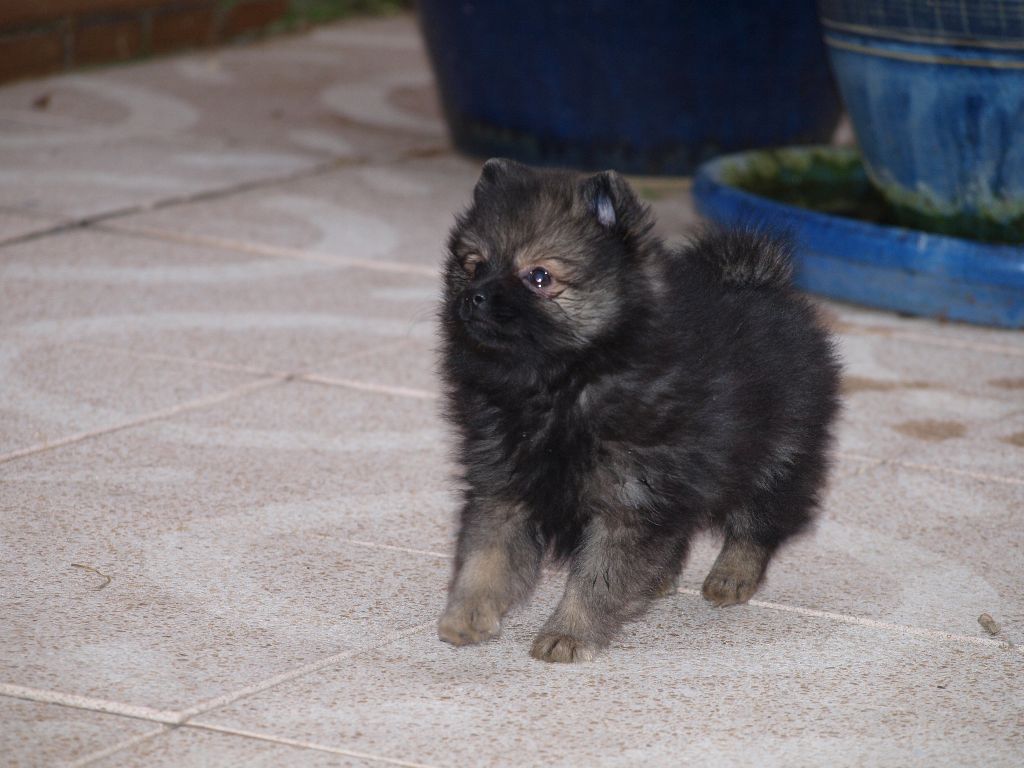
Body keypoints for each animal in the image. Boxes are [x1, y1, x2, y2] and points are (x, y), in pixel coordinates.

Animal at [432, 157, 839, 663]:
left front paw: (569, 633)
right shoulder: (504, 485)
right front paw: (466, 616)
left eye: (540, 277)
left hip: (779, 452)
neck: (563, 384)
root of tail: (759, 281)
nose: (476, 297)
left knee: (760, 519)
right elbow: (485, 558)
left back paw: (732, 575)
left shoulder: (630, 501)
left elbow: (598, 576)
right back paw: (663, 577)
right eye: (474, 266)